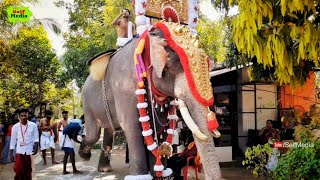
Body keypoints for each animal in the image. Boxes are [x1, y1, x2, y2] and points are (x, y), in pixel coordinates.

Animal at [79, 21, 221, 180]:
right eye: (171, 64)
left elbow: (160, 127)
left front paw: (160, 173)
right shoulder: (123, 88)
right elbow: (131, 126)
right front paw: (141, 176)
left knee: (109, 130)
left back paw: (103, 168)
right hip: (87, 102)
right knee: (94, 133)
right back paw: (84, 155)